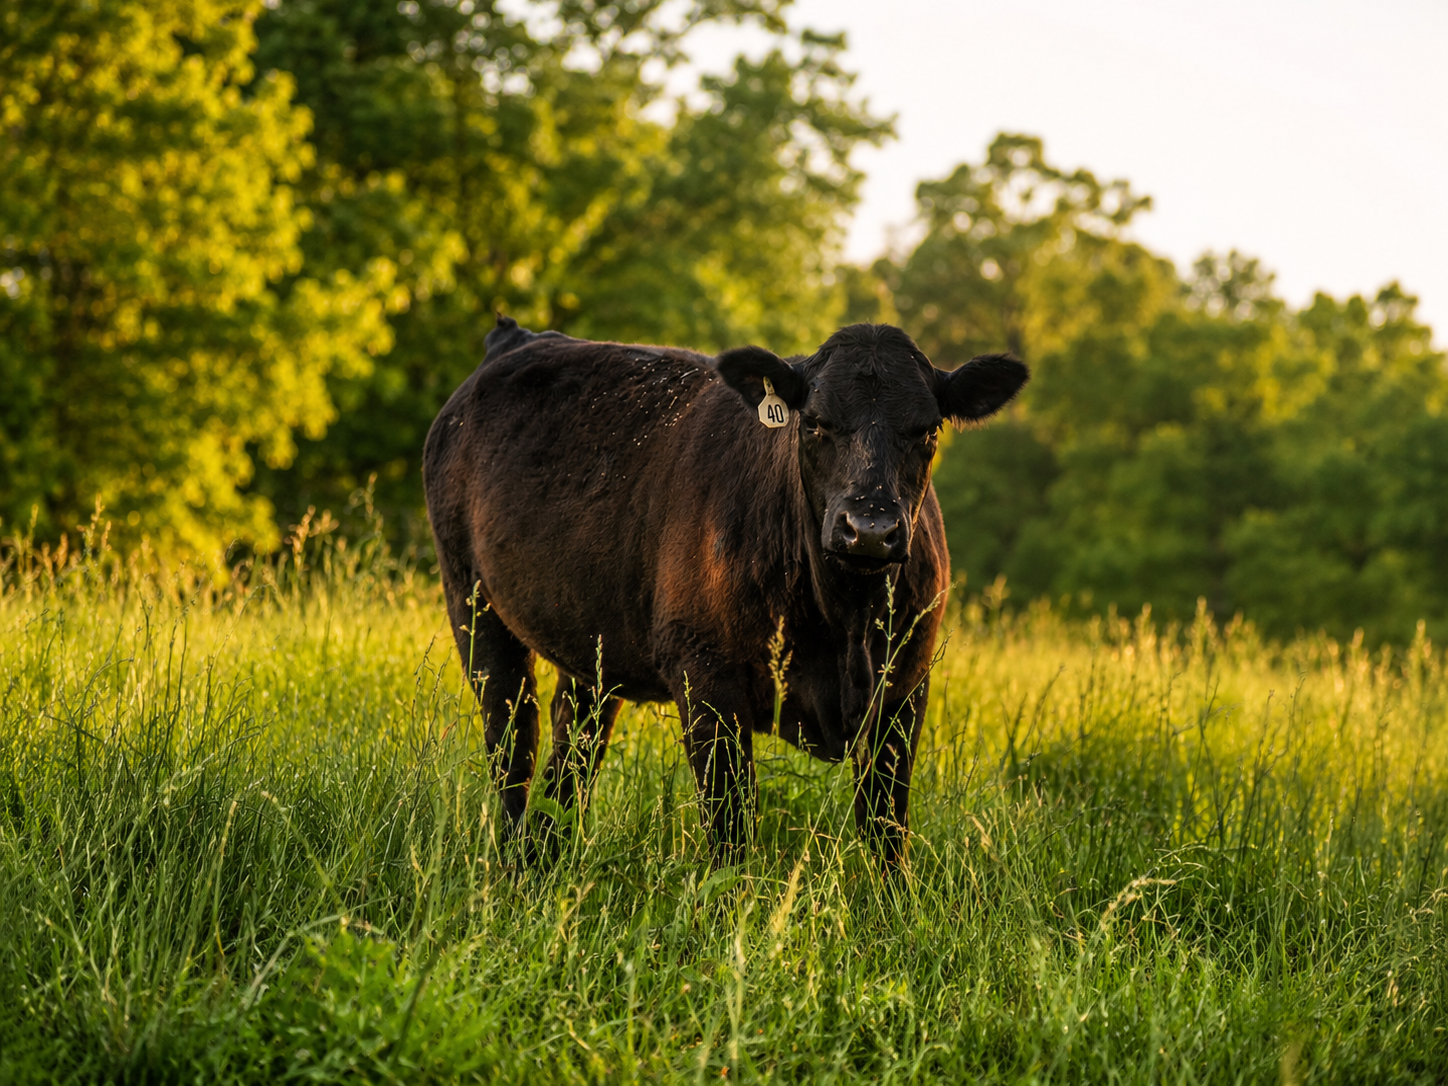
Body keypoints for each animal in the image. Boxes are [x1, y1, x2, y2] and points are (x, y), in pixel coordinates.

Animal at [423, 316, 1027, 867]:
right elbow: (731, 826)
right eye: (814, 423)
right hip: (471, 599)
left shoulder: (905, 686)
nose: (870, 527)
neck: (846, 619)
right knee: (511, 734)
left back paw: (543, 854)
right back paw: (511, 863)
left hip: (592, 642)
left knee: (574, 740)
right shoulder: (706, 677)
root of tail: (516, 337)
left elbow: (885, 829)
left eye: (928, 431)